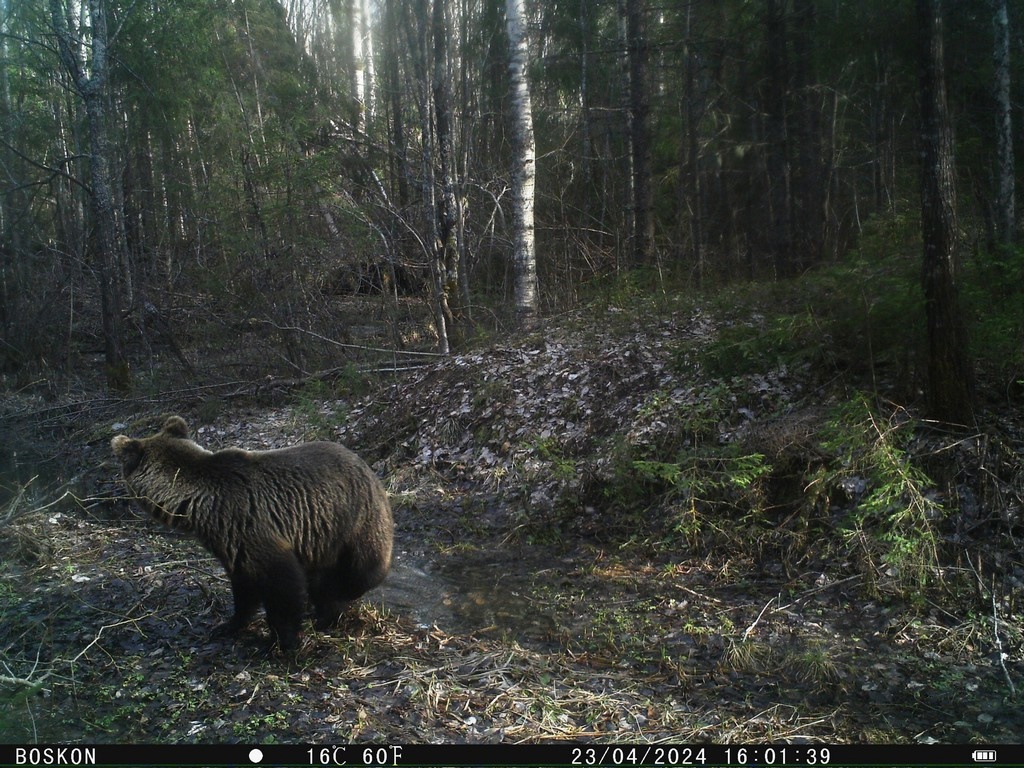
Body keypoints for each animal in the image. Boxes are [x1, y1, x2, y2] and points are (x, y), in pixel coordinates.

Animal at [111, 417, 391, 651]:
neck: (198, 504)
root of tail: (370, 471)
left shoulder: (250, 526)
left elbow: (282, 585)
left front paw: (281, 642)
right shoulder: (231, 544)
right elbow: (244, 587)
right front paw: (228, 625)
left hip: (352, 522)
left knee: (358, 572)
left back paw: (330, 608)